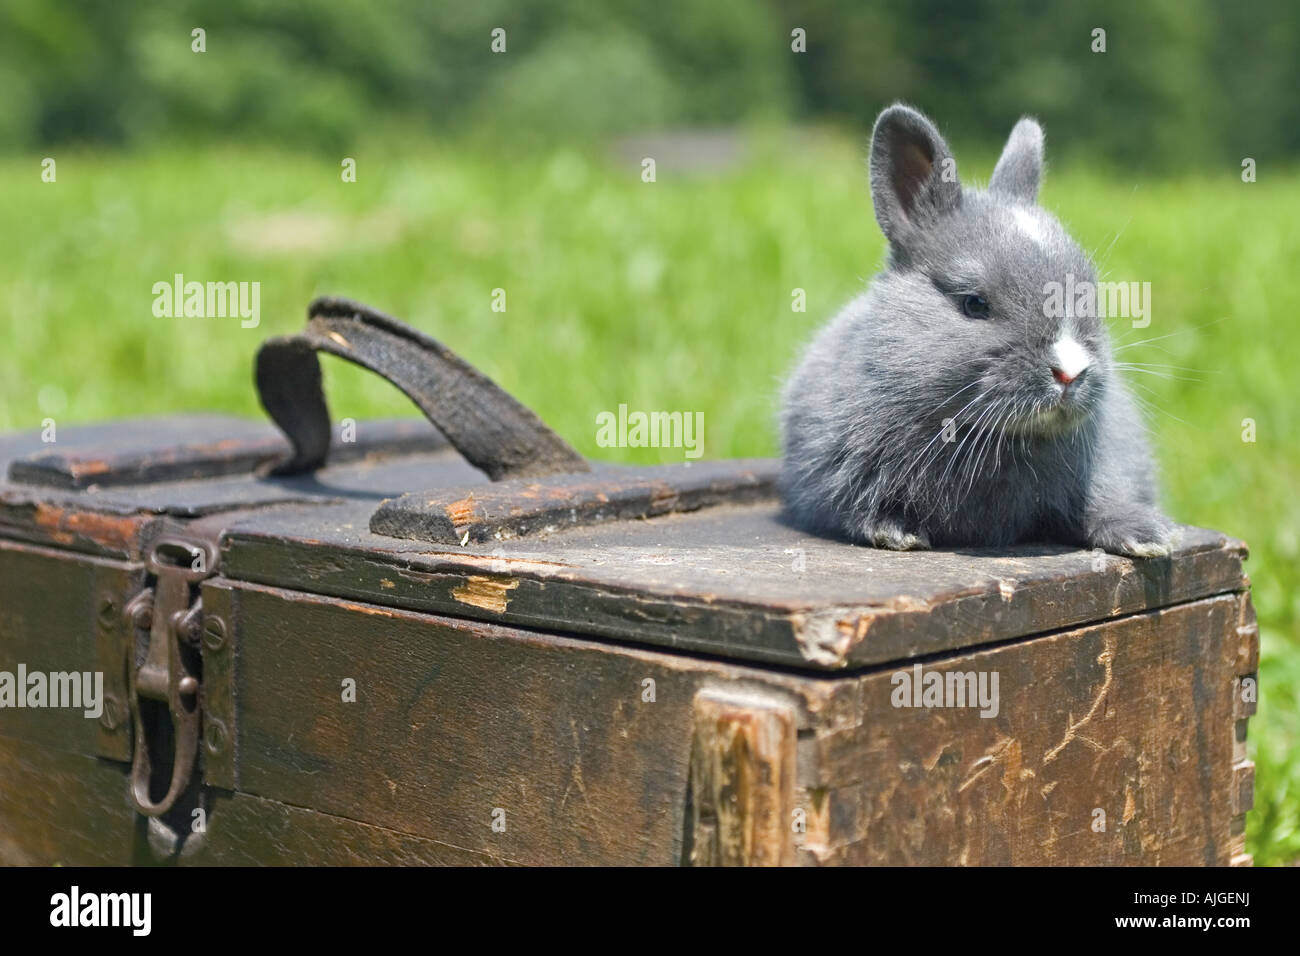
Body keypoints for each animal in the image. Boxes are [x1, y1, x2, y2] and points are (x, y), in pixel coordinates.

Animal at [780, 104, 1174, 558]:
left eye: (1089, 291)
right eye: (974, 304)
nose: (1070, 372)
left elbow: (1101, 502)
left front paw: (1147, 538)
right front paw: (897, 533)